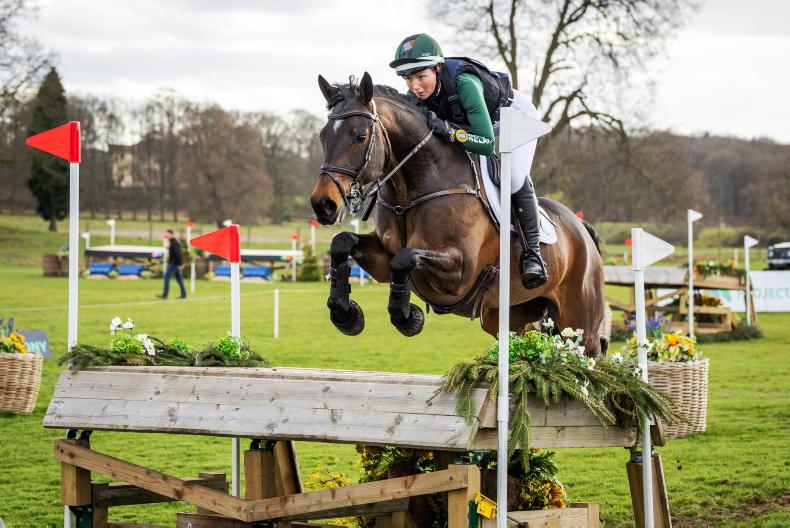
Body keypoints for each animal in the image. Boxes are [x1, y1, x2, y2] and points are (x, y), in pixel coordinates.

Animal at [310, 72, 608, 356]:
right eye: (323, 136)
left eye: (360, 136)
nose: (323, 204)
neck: (411, 193)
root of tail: (581, 227)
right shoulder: (383, 258)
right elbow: (343, 243)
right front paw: (345, 313)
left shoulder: (459, 272)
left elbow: (405, 258)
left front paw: (407, 317)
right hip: (508, 317)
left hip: (579, 324)